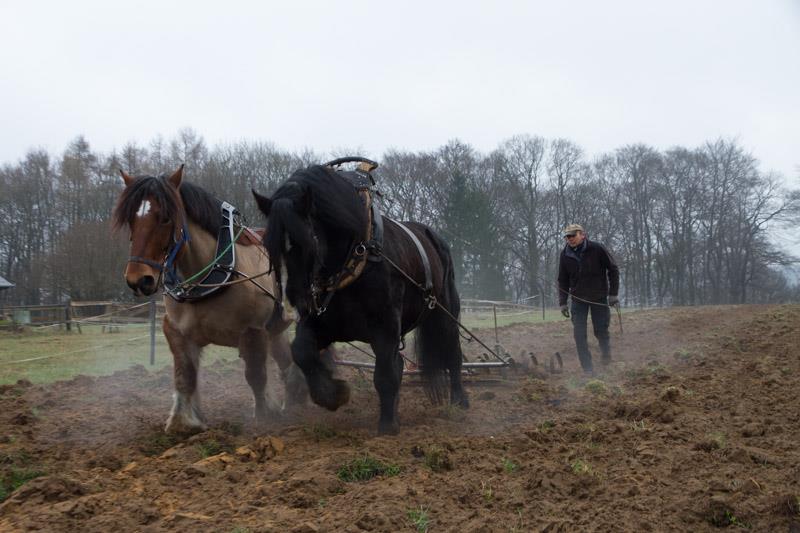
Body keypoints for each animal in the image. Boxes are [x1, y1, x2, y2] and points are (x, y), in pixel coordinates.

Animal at [109, 165, 304, 432]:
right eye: (131, 219)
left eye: (165, 217)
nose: (139, 279)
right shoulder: (177, 331)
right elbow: (185, 376)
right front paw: (183, 422)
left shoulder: (253, 330)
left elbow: (256, 376)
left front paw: (263, 419)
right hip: (276, 328)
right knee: (285, 360)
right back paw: (294, 399)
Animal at [252, 162, 468, 432]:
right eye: (269, 246)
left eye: (307, 241)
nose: (293, 302)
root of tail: (432, 235)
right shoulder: (321, 323)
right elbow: (301, 351)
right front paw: (331, 394)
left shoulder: (386, 327)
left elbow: (385, 374)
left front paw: (387, 425)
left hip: (444, 312)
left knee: (452, 352)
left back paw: (459, 400)